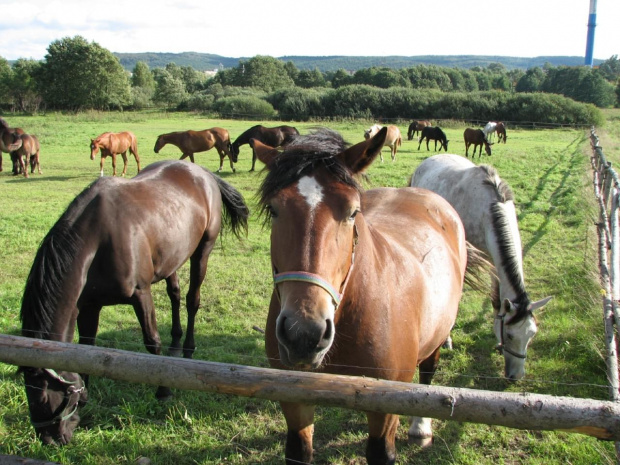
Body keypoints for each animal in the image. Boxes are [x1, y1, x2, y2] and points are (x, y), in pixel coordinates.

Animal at [20, 160, 251, 446]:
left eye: (41, 396)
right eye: (26, 393)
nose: (50, 439)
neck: (97, 242)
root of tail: (203, 173)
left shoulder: (141, 294)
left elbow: (152, 342)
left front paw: (163, 390)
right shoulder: (89, 306)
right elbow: (87, 348)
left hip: (202, 252)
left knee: (191, 300)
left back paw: (188, 348)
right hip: (172, 258)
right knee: (175, 295)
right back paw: (176, 344)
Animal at [253, 128, 490, 464]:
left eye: (353, 212)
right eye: (274, 209)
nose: (304, 333)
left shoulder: (385, 409)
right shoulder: (294, 396)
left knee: (429, 371)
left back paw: (421, 427)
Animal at [412, 154, 552, 378]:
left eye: (532, 335)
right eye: (510, 335)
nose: (516, 376)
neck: (488, 211)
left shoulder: (494, 262)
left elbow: (496, 300)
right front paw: (447, 339)